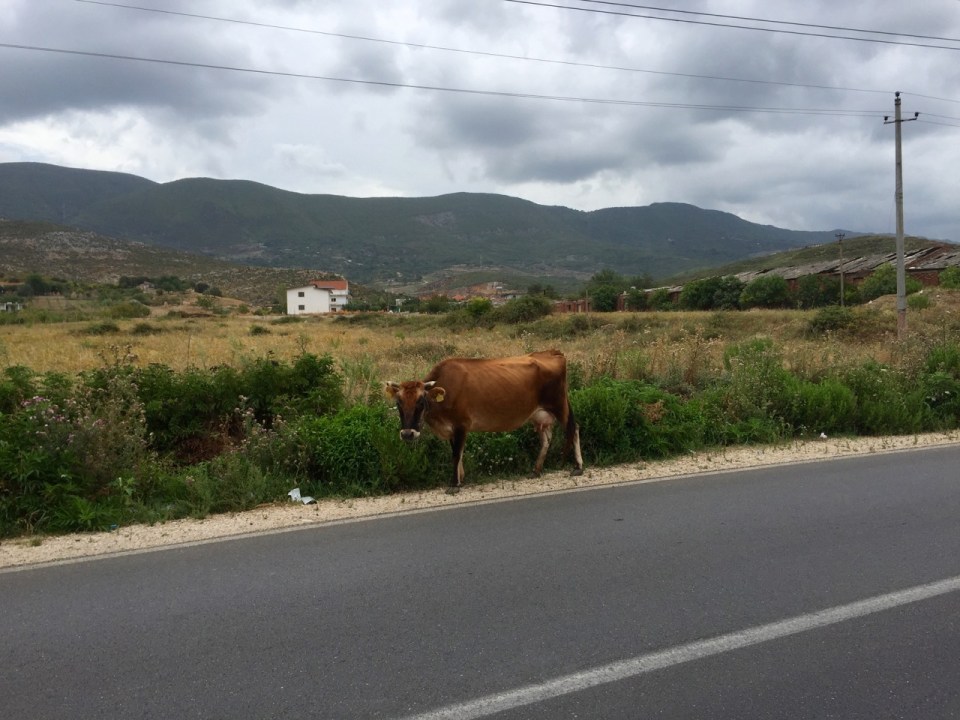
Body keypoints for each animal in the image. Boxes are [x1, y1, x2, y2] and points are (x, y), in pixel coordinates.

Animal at [385, 350, 584, 493]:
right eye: (399, 402)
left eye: (421, 401)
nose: (407, 434)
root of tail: (551, 352)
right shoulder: (452, 429)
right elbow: (458, 453)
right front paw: (461, 479)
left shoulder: (461, 424)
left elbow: (456, 454)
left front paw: (454, 484)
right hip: (539, 413)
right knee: (546, 439)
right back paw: (536, 470)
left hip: (559, 405)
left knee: (573, 428)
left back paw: (578, 467)